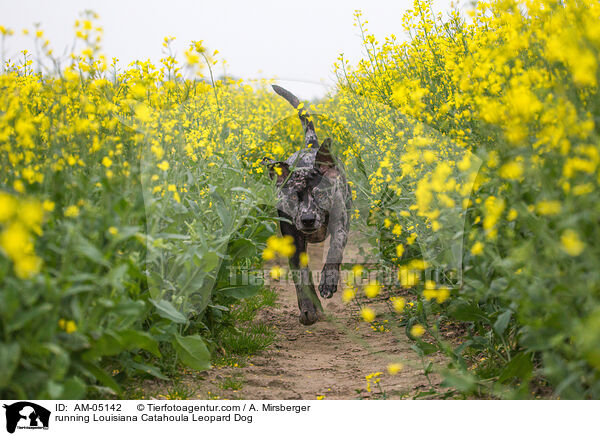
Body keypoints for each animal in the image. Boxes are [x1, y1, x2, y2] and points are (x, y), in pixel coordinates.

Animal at [264, 85, 352, 326]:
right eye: (294, 197)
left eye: (320, 194)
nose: (308, 219)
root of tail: (310, 145)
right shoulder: (293, 241)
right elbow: (301, 276)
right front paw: (307, 309)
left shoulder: (340, 226)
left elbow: (335, 250)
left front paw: (329, 281)